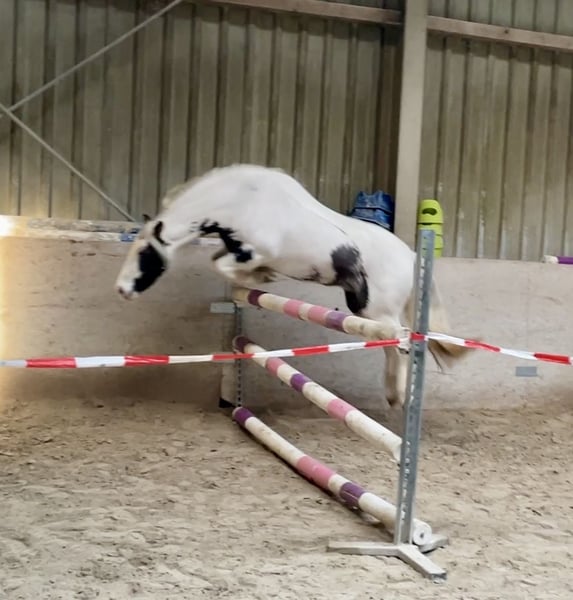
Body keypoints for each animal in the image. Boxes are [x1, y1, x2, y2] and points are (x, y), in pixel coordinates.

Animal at [115, 163, 471, 407]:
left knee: (400, 343)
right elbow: (221, 263)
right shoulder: (236, 248)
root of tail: (410, 256)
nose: (121, 290)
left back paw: (397, 395)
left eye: (145, 253)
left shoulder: (254, 251)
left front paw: (264, 277)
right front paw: (260, 278)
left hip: (377, 311)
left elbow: (224, 266)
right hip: (364, 308)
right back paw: (394, 396)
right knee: (391, 344)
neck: (241, 202)